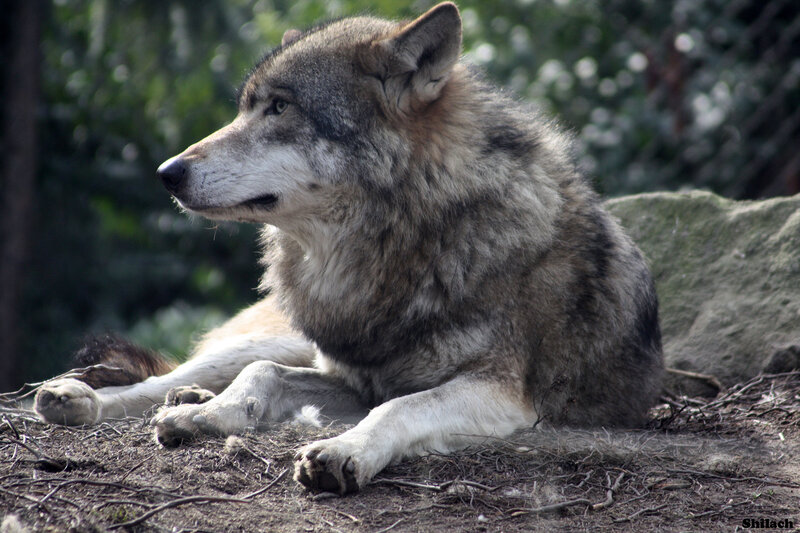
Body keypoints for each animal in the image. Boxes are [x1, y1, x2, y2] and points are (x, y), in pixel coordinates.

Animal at [34, 2, 662, 493]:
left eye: (279, 107)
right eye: (245, 108)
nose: (167, 173)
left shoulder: (497, 390)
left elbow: (400, 405)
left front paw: (343, 451)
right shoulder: (349, 376)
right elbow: (263, 377)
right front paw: (210, 416)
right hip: (270, 338)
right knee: (172, 377)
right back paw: (86, 398)